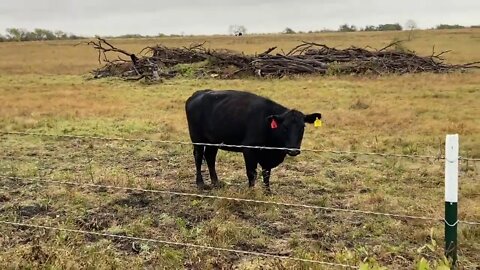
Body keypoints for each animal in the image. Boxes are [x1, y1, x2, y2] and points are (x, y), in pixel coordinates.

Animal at [186, 89, 320, 191]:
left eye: (303, 127)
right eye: (284, 127)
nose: (293, 151)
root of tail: (198, 93)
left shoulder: (267, 155)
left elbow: (266, 173)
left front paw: (267, 191)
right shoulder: (249, 149)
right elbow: (252, 173)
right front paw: (252, 191)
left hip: (213, 141)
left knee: (210, 157)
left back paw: (216, 182)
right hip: (197, 138)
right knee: (198, 157)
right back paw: (200, 183)